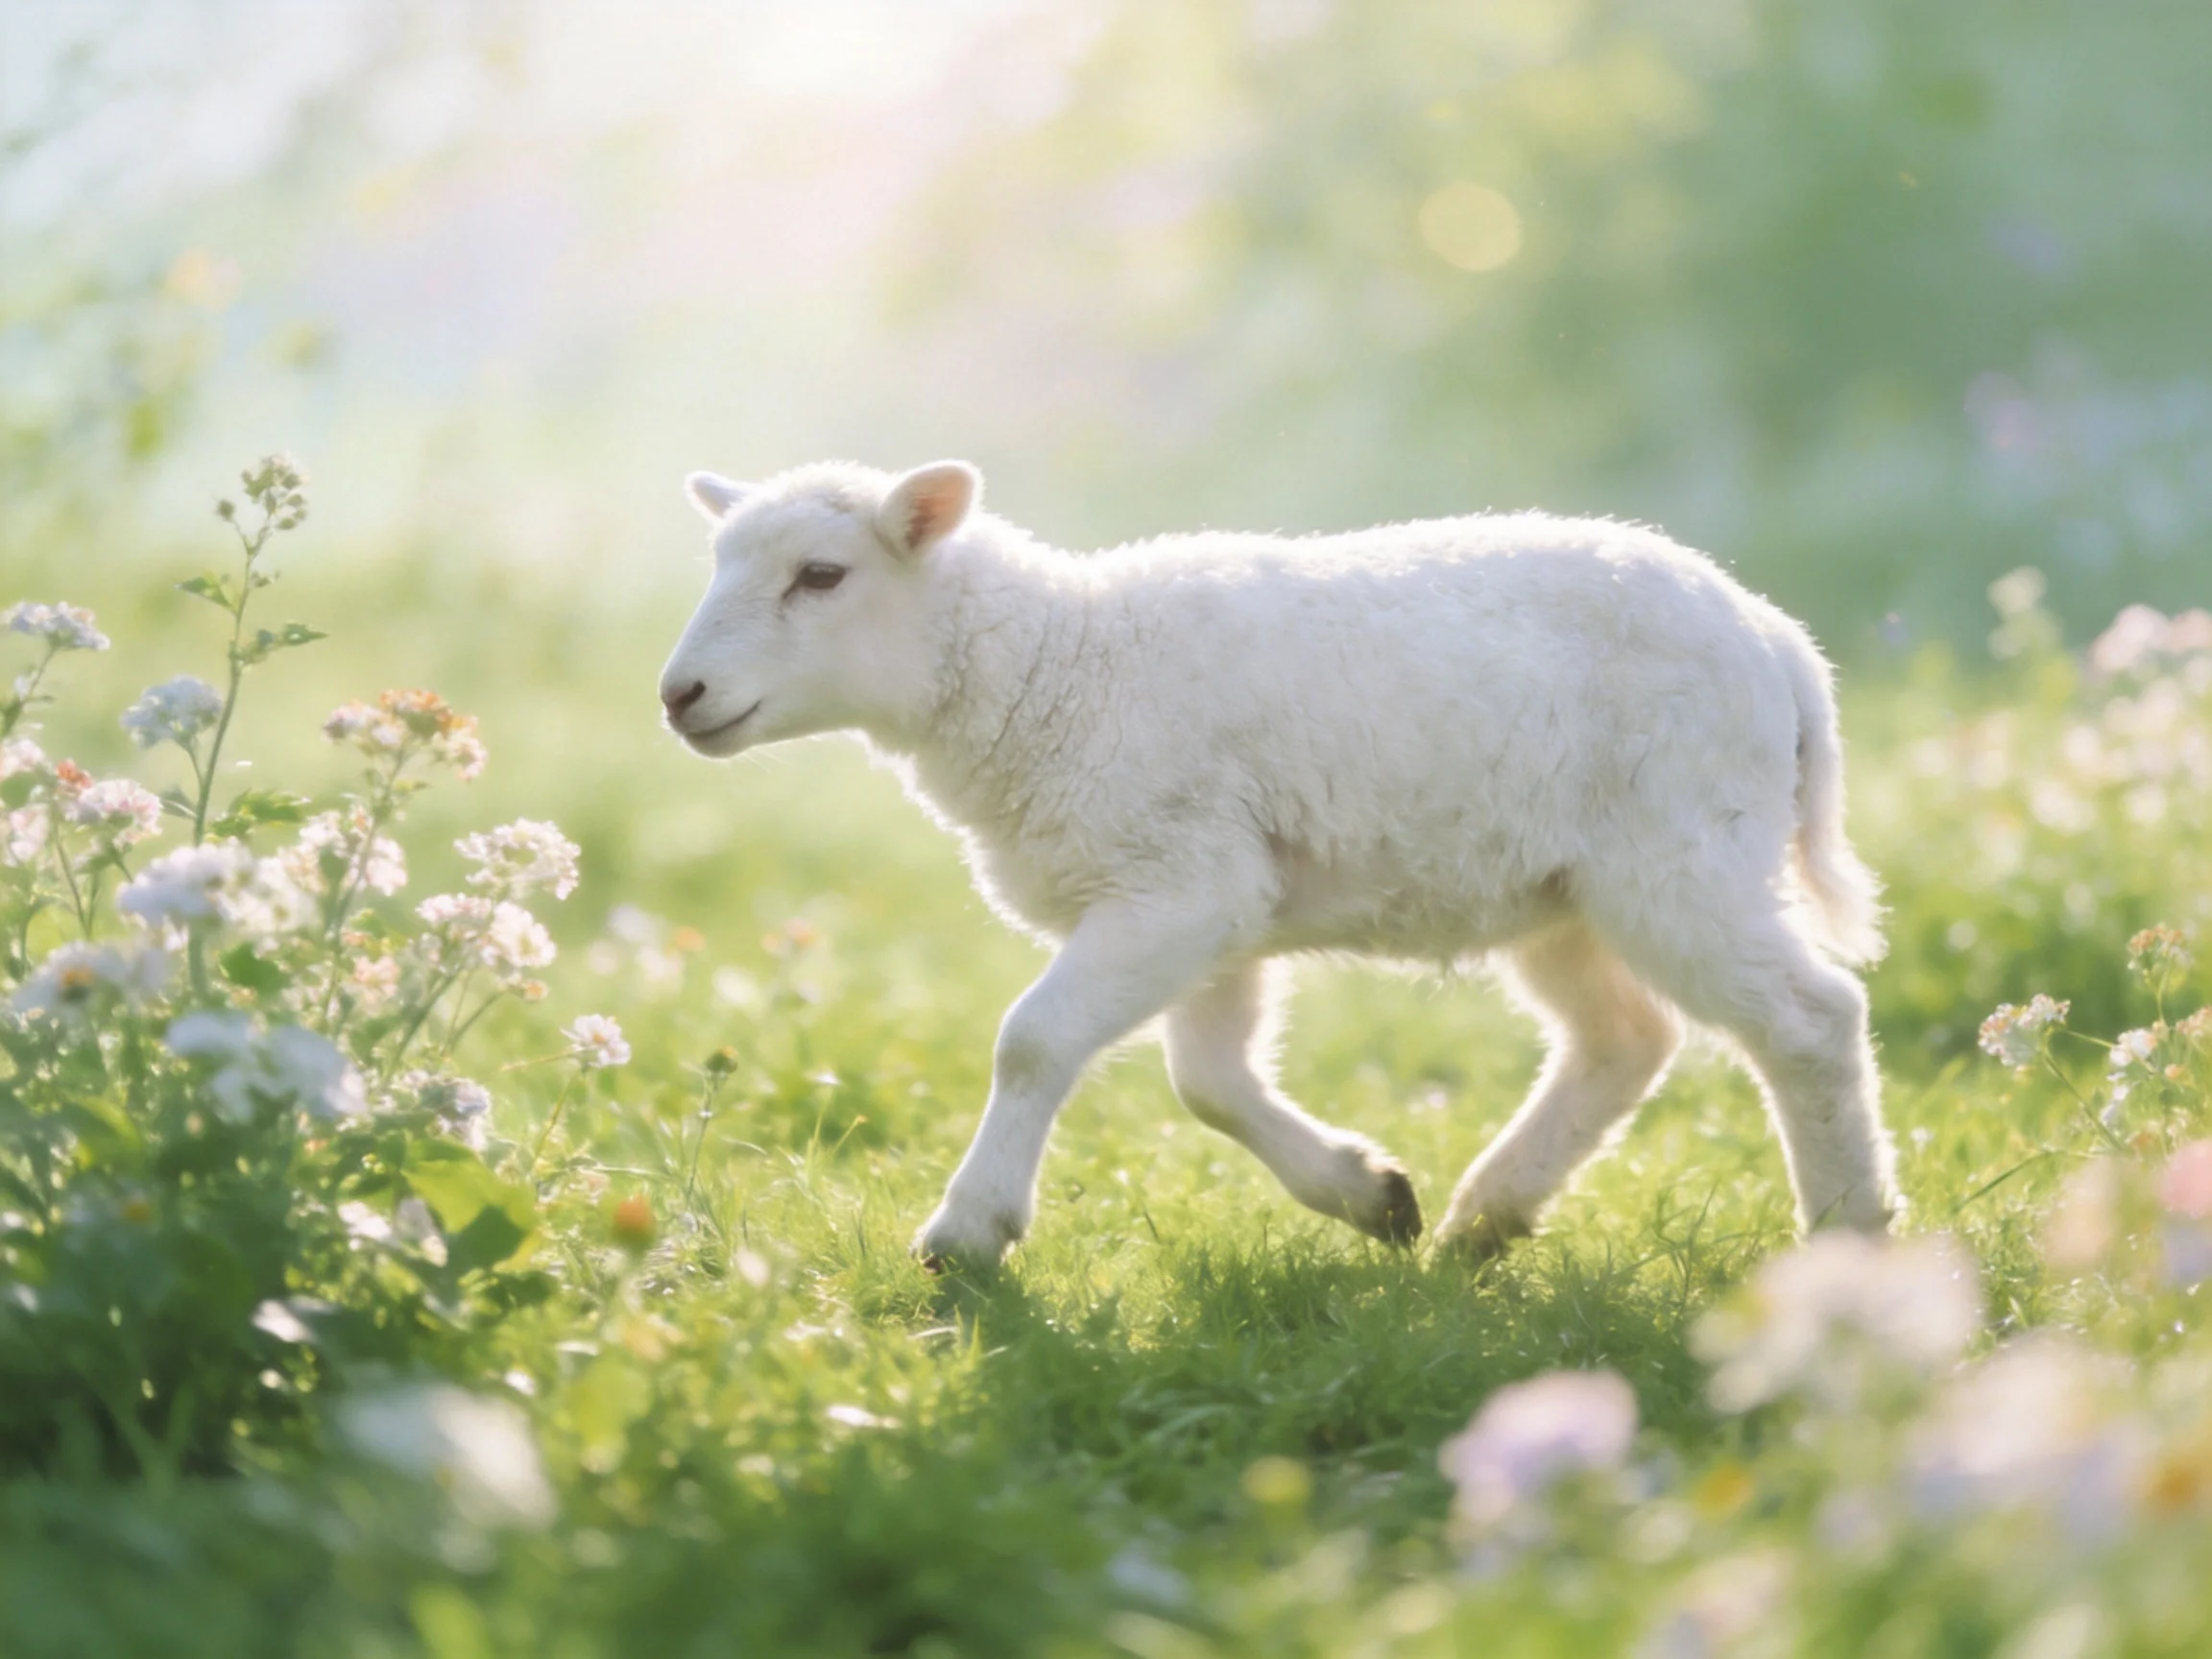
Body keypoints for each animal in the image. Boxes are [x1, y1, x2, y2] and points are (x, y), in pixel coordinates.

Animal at [659, 459, 1897, 1267]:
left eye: (821, 576)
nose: (680, 695)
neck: (1055, 668)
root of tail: (1780, 642)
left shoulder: (1177, 882)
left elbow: (1034, 1041)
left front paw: (967, 1235)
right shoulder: (1214, 897)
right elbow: (1207, 1081)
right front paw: (1367, 1194)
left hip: (1682, 849)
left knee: (1810, 1020)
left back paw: (1850, 1230)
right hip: (1569, 892)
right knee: (1624, 1038)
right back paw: (1485, 1218)